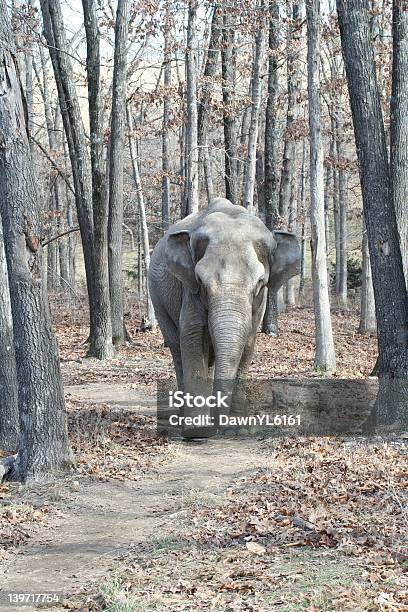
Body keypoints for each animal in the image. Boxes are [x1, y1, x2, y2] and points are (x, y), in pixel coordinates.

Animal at [148, 198, 302, 438]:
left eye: (260, 282)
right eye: (201, 281)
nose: (218, 426)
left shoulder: (259, 305)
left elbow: (248, 344)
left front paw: (239, 427)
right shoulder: (189, 291)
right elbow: (192, 338)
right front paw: (197, 429)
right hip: (158, 300)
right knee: (177, 349)